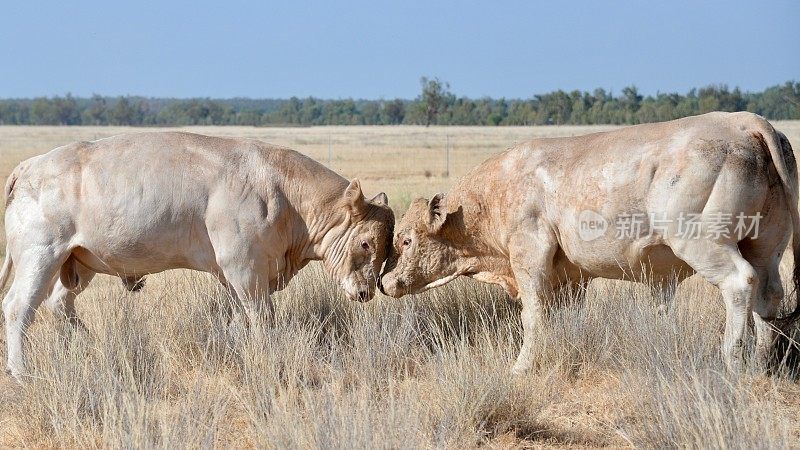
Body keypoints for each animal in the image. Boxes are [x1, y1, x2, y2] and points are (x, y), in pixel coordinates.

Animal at [0, 133, 394, 380]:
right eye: (366, 244)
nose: (367, 292)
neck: (283, 192)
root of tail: (29, 166)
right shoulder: (244, 268)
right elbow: (261, 317)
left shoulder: (233, 275)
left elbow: (238, 319)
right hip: (40, 256)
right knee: (19, 307)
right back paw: (21, 371)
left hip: (76, 263)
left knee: (59, 303)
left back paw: (83, 344)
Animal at [382, 112, 800, 372]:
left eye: (405, 241)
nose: (385, 282)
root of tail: (742, 122)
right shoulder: (571, 277)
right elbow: (565, 317)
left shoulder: (529, 252)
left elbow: (533, 315)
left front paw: (521, 367)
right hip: (765, 246)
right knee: (768, 293)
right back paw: (761, 362)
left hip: (703, 242)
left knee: (740, 283)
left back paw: (731, 359)